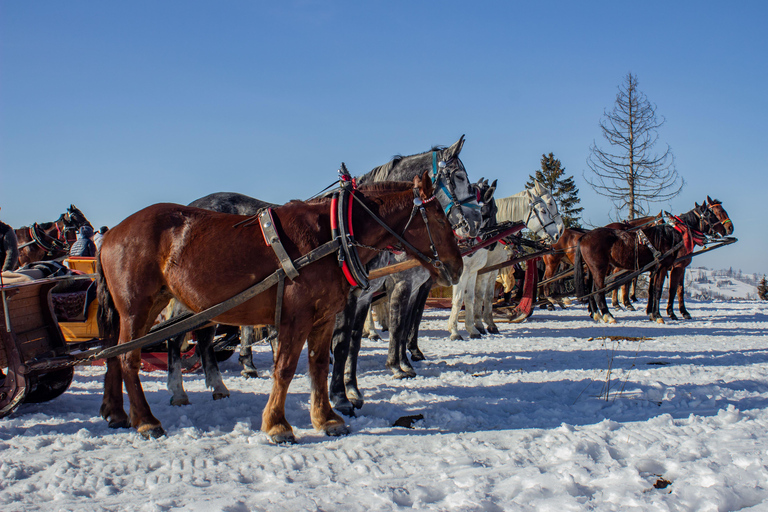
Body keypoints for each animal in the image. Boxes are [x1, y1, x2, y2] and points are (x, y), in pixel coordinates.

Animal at [99, 174, 464, 442]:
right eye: (439, 217)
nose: (457, 266)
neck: (333, 235)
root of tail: (111, 233)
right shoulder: (296, 317)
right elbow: (286, 368)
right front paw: (277, 424)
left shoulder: (324, 316)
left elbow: (319, 364)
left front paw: (326, 418)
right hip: (137, 306)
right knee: (130, 357)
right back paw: (147, 420)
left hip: (152, 304)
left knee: (114, 352)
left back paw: (117, 412)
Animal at [448, 180, 568, 340]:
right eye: (546, 208)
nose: (559, 232)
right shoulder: (472, 270)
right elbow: (463, 297)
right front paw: (458, 329)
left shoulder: (489, 269)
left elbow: (482, 296)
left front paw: (484, 324)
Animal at [576, 201, 732, 324]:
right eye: (713, 214)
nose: (728, 229)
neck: (671, 235)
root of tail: (584, 236)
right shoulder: (665, 267)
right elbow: (659, 290)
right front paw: (660, 315)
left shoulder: (655, 269)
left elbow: (652, 290)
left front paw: (652, 314)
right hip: (600, 269)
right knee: (598, 291)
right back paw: (608, 315)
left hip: (593, 269)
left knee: (592, 290)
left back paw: (597, 314)